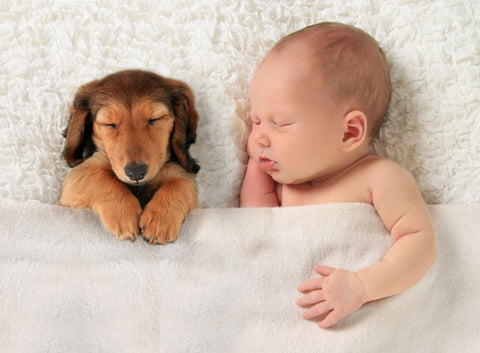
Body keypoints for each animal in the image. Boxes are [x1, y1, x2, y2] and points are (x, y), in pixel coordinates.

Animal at [59, 70, 199, 243]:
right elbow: (99, 175)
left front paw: (160, 221)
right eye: (109, 124)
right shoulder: (77, 178)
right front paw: (125, 214)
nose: (136, 172)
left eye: (155, 119)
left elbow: (181, 183)